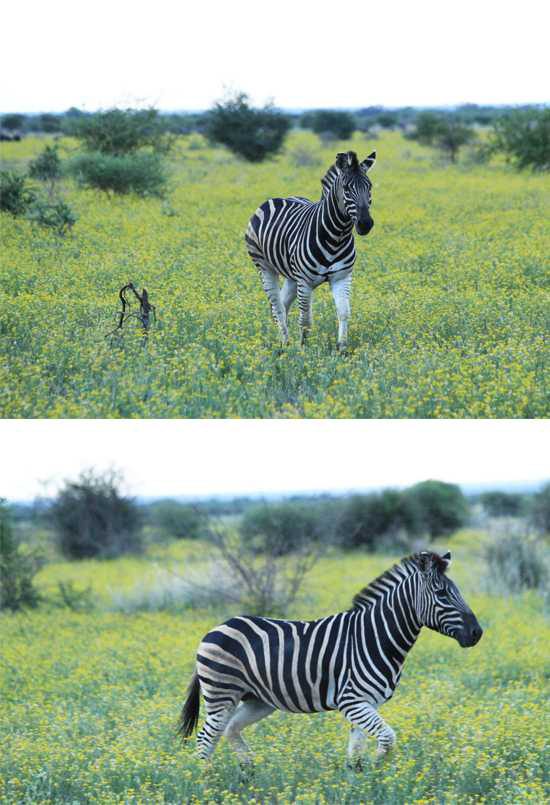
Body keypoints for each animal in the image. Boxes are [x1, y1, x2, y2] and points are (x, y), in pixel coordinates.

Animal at [178, 548, 484, 768]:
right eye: (442, 593)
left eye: (456, 591)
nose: (477, 633)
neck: (375, 636)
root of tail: (216, 627)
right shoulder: (352, 701)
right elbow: (387, 738)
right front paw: (377, 770)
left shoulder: (366, 703)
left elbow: (356, 752)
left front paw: (360, 783)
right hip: (221, 694)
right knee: (206, 738)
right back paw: (208, 782)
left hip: (258, 700)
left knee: (228, 730)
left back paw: (248, 773)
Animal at [248, 150, 378, 348]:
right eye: (346, 189)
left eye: (369, 186)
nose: (365, 224)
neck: (336, 237)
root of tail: (278, 198)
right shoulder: (305, 281)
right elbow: (305, 320)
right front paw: (304, 349)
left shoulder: (342, 277)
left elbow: (344, 312)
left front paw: (342, 348)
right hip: (264, 266)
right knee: (277, 307)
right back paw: (284, 344)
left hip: (292, 276)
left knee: (283, 305)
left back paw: (282, 342)